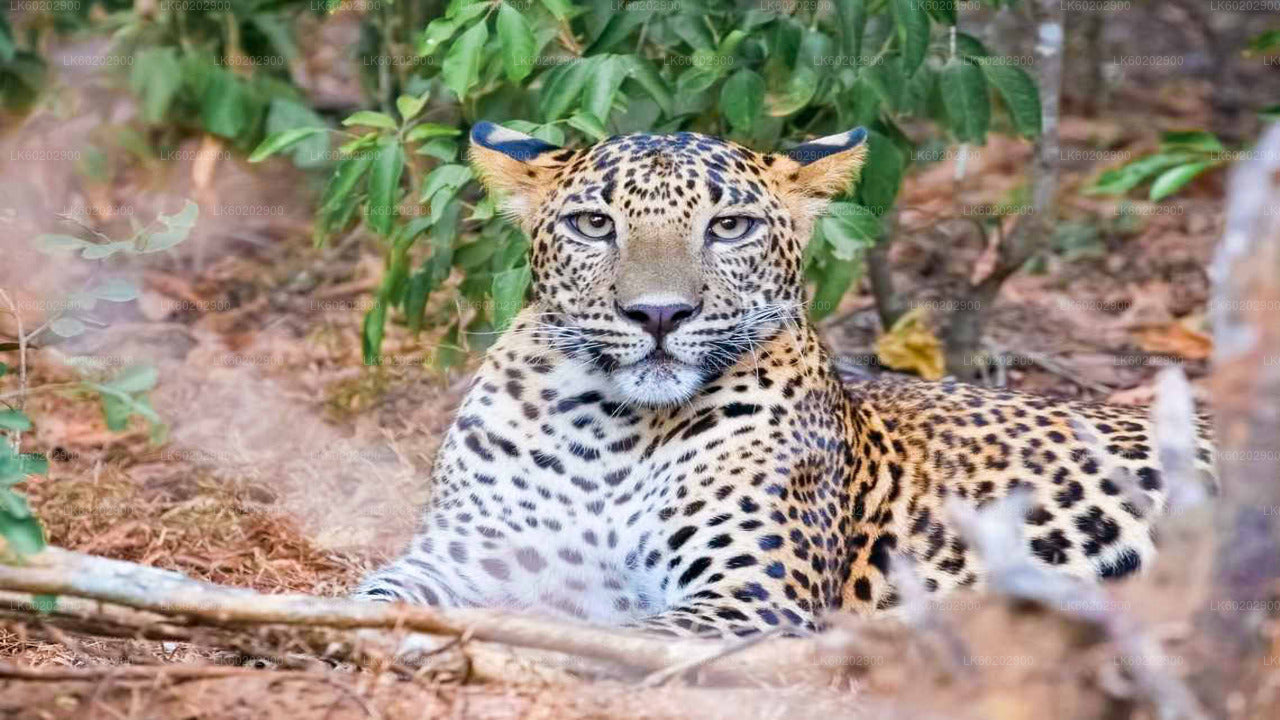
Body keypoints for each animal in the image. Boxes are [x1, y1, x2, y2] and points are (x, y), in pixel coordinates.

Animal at [353, 120, 1218, 635]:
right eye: (594, 224)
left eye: (728, 226)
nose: (658, 314)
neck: (607, 428)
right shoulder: (461, 557)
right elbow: (367, 595)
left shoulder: (750, 599)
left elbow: (631, 640)